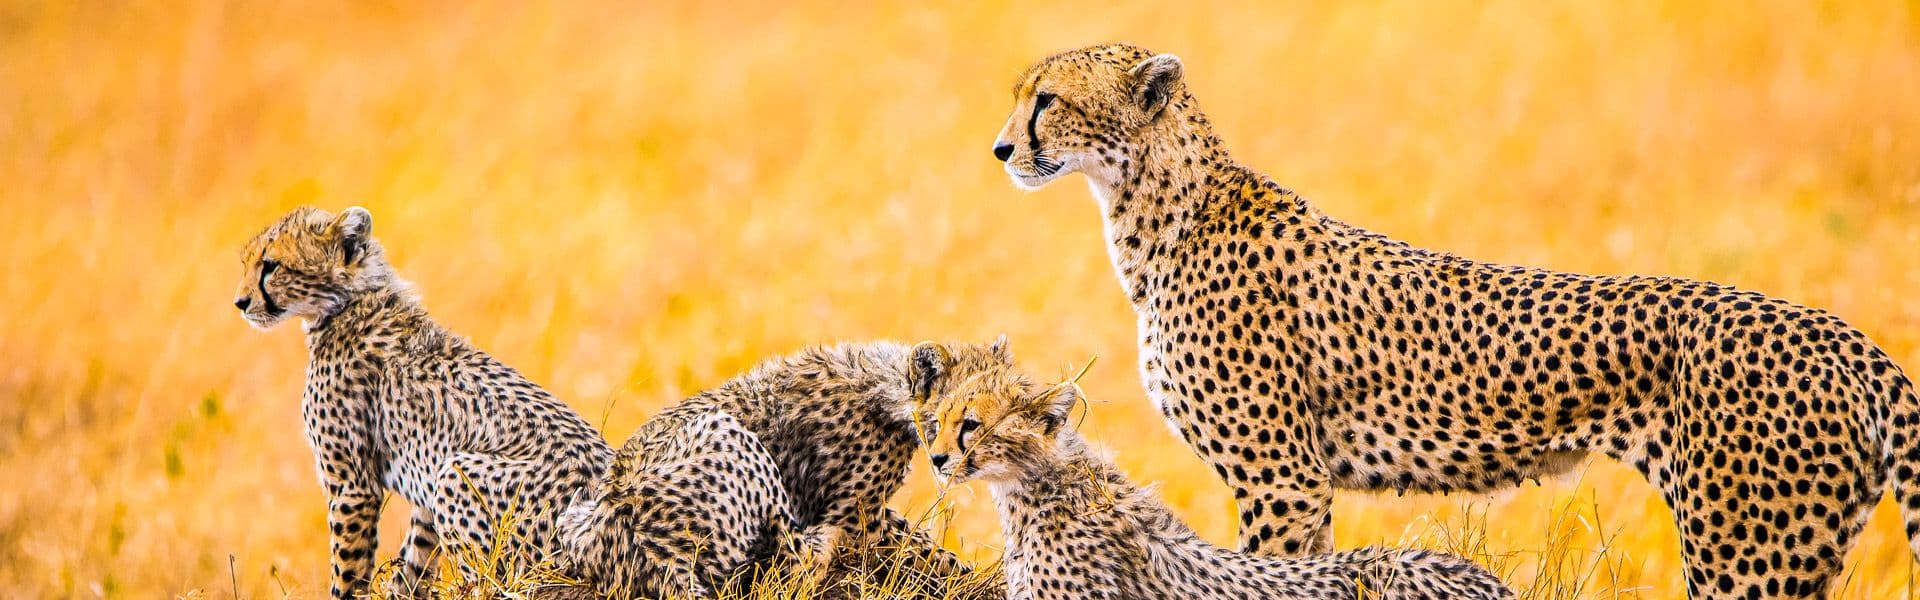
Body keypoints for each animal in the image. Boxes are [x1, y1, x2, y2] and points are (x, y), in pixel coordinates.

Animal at [234, 206, 614, 598]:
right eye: (248, 263)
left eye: (271, 265)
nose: (241, 303)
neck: (352, 301)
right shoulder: (421, 495)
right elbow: (414, 564)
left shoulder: (353, 486)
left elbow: (348, 571)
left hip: (458, 476)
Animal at [989, 43, 1920, 597]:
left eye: (1048, 100)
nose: (1002, 149)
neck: (1156, 213)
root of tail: (1843, 336)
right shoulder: (1300, 486)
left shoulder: (1282, 479)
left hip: (1746, 551)